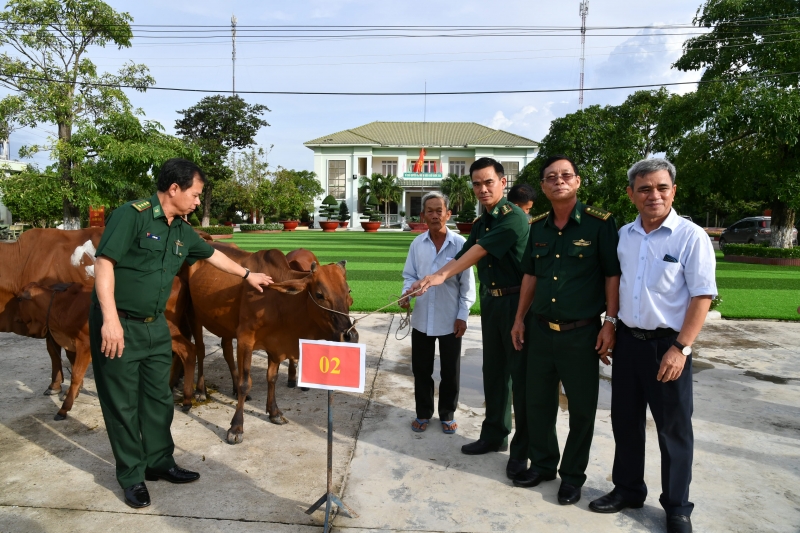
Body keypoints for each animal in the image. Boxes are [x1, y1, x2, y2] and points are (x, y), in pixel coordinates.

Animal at [188, 245, 356, 440]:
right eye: (319, 294)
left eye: (348, 291)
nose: (350, 335)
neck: (277, 300)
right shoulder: (245, 339)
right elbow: (246, 383)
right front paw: (236, 427)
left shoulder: (275, 343)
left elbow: (272, 378)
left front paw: (274, 412)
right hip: (194, 316)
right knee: (200, 350)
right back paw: (201, 391)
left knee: (227, 352)